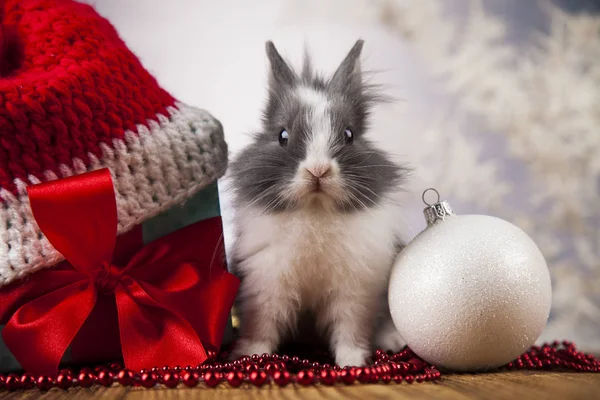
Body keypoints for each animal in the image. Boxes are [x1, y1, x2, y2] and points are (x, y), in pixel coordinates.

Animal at [227, 39, 410, 368]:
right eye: (282, 135)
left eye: (349, 135)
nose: (318, 170)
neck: (315, 210)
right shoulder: (265, 284)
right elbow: (262, 325)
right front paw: (252, 355)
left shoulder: (355, 290)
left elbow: (350, 328)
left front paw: (352, 362)